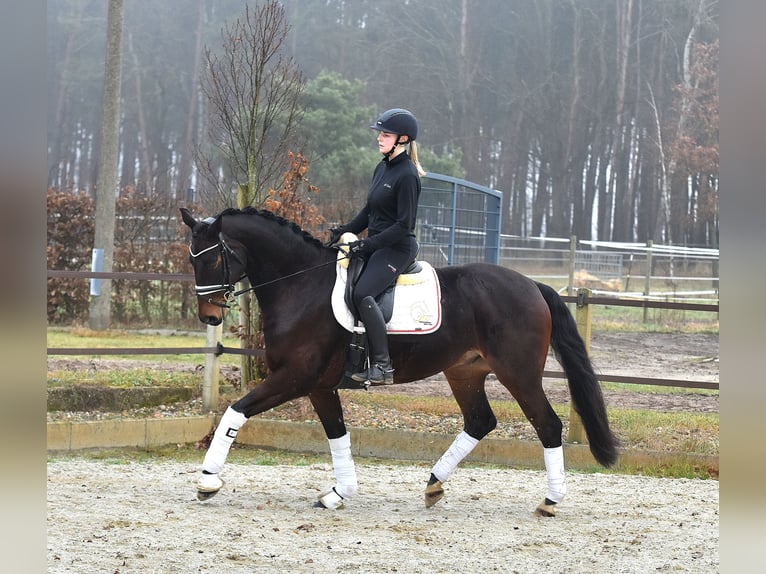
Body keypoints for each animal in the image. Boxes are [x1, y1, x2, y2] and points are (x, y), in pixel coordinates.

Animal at [178, 207, 616, 516]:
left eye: (212, 260)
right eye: (191, 259)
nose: (209, 317)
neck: (301, 286)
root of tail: (532, 286)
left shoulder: (295, 378)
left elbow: (235, 412)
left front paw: (207, 481)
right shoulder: (319, 386)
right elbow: (337, 435)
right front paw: (339, 493)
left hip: (519, 373)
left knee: (548, 425)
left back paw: (551, 501)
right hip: (464, 371)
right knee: (480, 421)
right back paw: (434, 483)